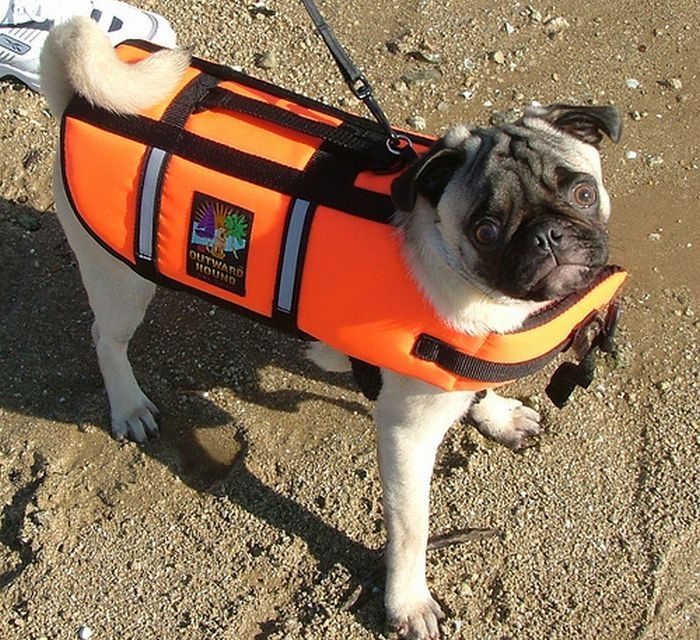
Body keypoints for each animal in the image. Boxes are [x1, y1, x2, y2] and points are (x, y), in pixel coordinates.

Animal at [39, 17, 616, 640]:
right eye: (485, 230)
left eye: (583, 192)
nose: (548, 235)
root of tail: (76, 97)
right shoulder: (406, 434)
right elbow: (411, 531)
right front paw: (407, 601)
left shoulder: (465, 362)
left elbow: (477, 387)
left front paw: (497, 416)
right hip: (121, 283)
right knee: (107, 341)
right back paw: (128, 405)